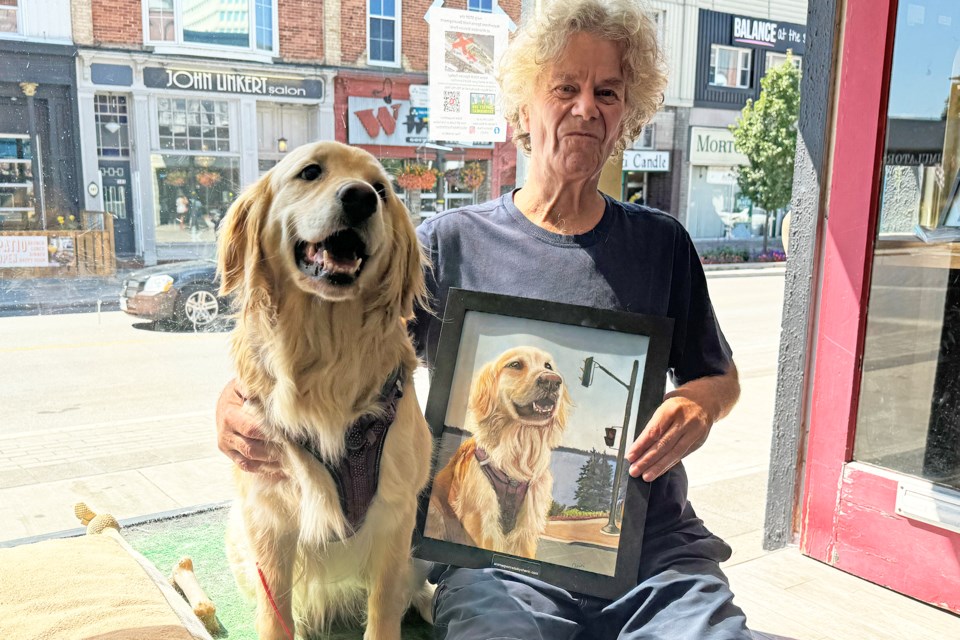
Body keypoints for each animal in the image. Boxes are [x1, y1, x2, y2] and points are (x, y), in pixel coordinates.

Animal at [219, 141, 434, 640]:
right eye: (310, 172)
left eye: (381, 190)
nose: (360, 199)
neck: (326, 350)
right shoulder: (268, 519)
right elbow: (274, 615)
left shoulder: (396, 514)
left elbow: (384, 609)